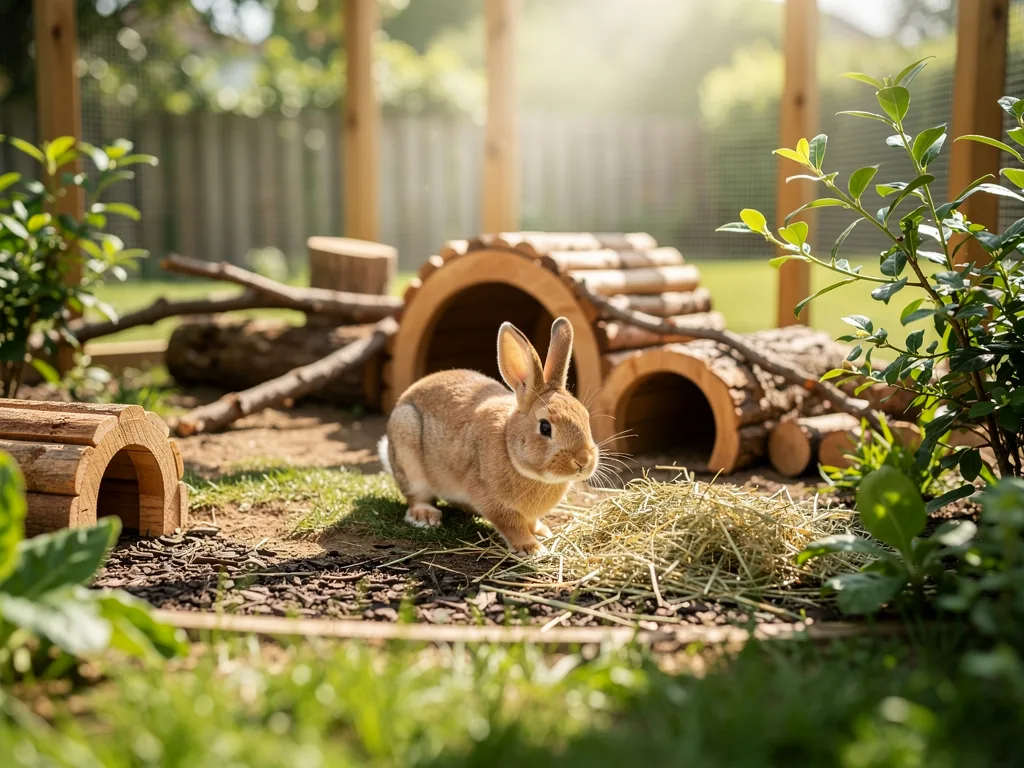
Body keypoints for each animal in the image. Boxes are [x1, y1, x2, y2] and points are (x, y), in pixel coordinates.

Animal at [378, 317, 599, 556]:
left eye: (586, 417)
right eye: (545, 427)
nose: (583, 460)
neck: (509, 446)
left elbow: (530, 521)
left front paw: (542, 531)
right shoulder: (491, 498)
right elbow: (511, 524)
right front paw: (532, 549)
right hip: (407, 448)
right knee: (416, 496)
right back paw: (426, 516)